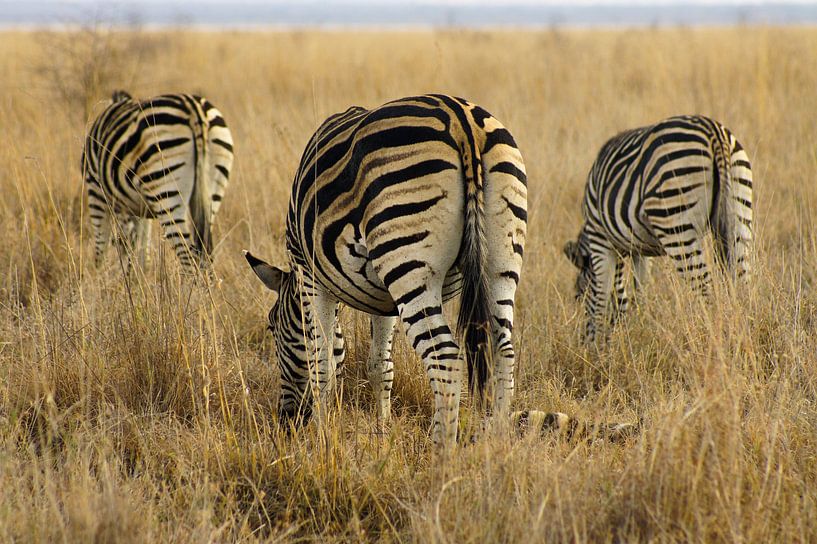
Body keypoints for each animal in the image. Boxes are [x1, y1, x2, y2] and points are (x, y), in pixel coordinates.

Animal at [82, 90, 234, 274]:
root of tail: (194, 110)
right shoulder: (138, 209)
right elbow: (142, 249)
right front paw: (137, 277)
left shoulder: (96, 191)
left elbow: (105, 247)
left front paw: (104, 279)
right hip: (212, 190)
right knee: (205, 257)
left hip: (166, 190)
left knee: (188, 259)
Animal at [245, 94, 527, 449]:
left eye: (271, 326)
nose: (287, 422)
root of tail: (461, 120)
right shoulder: (385, 299)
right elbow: (380, 365)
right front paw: (382, 431)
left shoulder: (310, 274)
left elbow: (321, 361)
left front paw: (320, 438)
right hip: (499, 263)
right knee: (503, 350)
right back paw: (498, 444)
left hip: (409, 263)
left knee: (446, 357)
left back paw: (442, 451)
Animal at [563, 115, 753, 342]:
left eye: (578, 296)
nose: (582, 341)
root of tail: (714, 132)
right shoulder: (639, 250)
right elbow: (639, 290)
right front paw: (639, 327)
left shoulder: (599, 238)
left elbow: (602, 295)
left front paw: (598, 345)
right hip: (738, 213)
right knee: (742, 282)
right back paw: (742, 331)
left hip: (675, 218)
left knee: (705, 289)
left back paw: (710, 336)